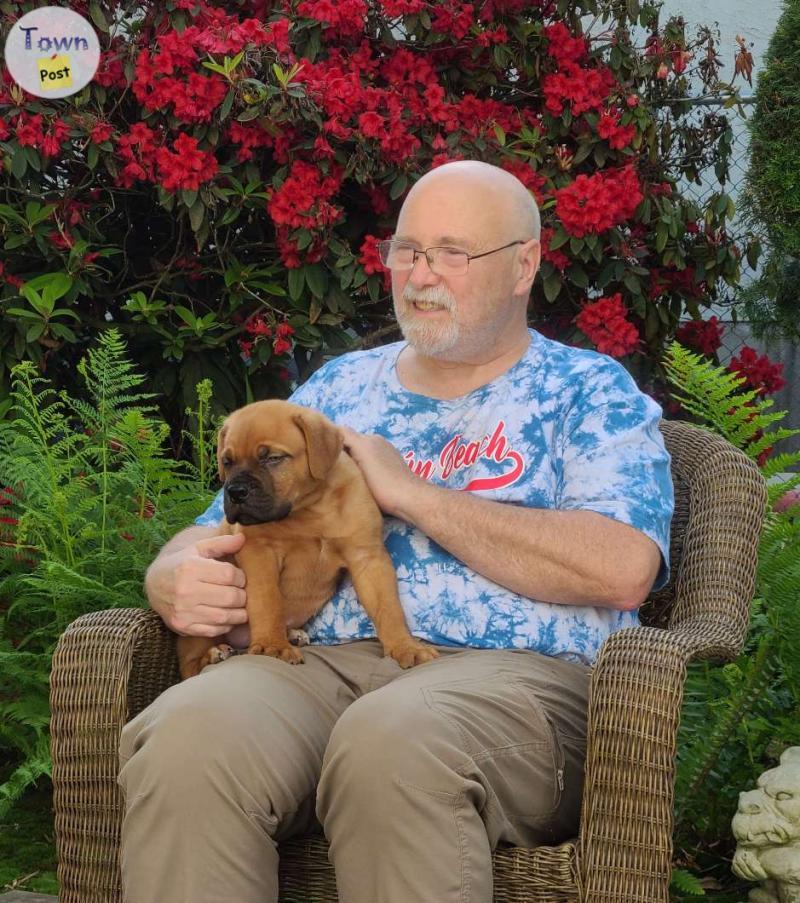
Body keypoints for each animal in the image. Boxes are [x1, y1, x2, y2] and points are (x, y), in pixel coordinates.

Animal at [177, 402, 438, 680]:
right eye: (227, 462)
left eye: (273, 458)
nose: (236, 492)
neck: (310, 509)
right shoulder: (259, 553)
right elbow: (267, 601)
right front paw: (272, 645)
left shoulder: (367, 557)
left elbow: (388, 607)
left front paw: (405, 646)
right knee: (189, 665)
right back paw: (214, 654)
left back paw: (292, 634)